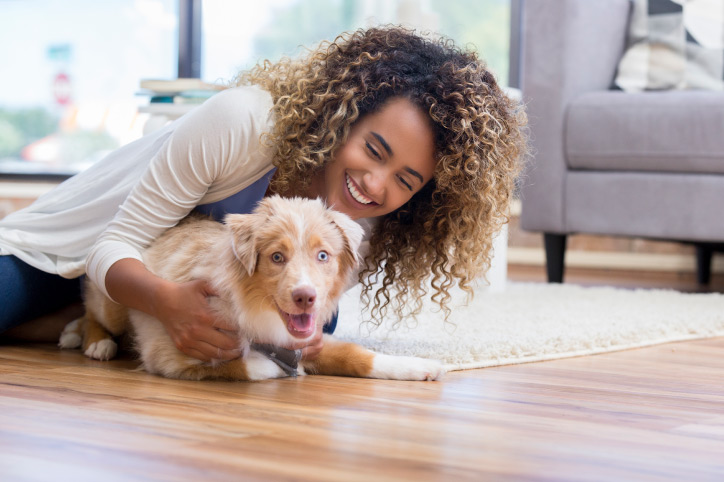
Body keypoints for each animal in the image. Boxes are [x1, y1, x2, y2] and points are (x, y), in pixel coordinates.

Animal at [59, 194, 444, 382]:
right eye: (276, 257)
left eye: (323, 255)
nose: (306, 297)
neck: (256, 307)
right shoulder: (169, 354)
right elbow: (247, 365)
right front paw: (280, 368)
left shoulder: (309, 339)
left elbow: (358, 355)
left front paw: (420, 366)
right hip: (113, 299)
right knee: (92, 310)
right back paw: (91, 340)